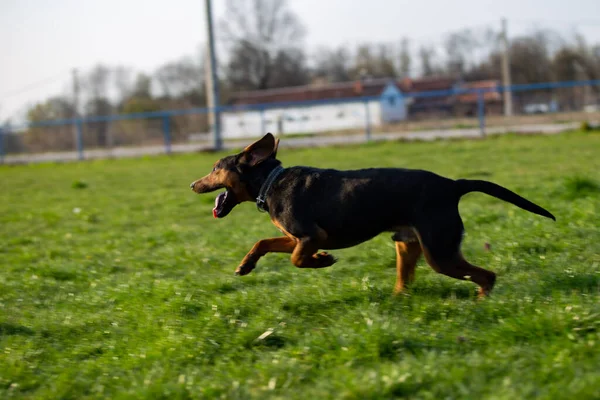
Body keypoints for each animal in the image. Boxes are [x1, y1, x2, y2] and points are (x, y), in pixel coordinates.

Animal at [190, 133, 556, 298]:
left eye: (215, 168)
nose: (193, 184)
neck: (270, 182)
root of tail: (452, 186)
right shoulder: (295, 236)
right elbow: (263, 242)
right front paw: (245, 266)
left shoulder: (310, 235)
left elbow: (296, 259)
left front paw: (322, 261)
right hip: (408, 245)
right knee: (405, 283)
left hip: (439, 252)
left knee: (487, 276)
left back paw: (479, 302)